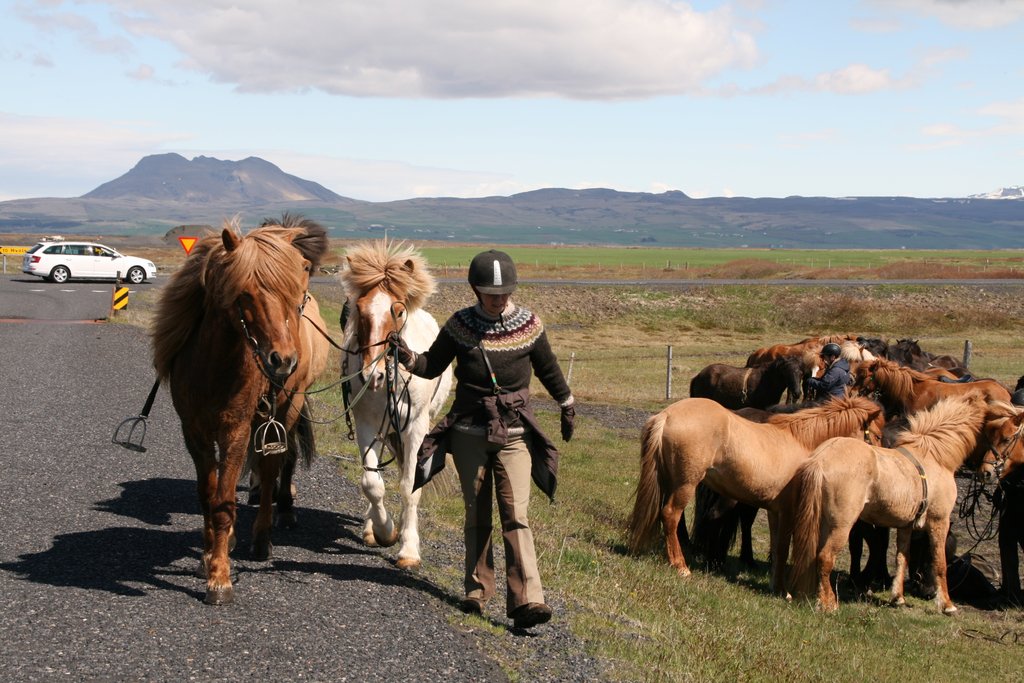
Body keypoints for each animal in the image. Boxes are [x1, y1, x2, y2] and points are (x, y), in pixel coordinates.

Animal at [152, 215, 330, 605]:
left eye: (290, 293)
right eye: (244, 293)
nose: (283, 360)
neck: (213, 366)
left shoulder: (236, 429)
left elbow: (224, 502)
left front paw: (219, 578)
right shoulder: (195, 432)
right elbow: (209, 494)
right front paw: (209, 555)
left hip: (286, 407)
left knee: (276, 465)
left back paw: (265, 533)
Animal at [339, 240, 452, 569]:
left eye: (399, 311)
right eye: (359, 309)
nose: (371, 375)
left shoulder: (415, 428)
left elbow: (409, 486)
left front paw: (409, 548)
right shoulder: (366, 425)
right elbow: (371, 483)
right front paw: (384, 530)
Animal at [627, 395, 885, 593]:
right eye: (877, 435)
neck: (803, 444)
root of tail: (666, 415)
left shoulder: (775, 511)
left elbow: (777, 548)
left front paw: (776, 585)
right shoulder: (789, 512)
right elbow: (782, 548)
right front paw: (782, 591)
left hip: (668, 481)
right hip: (685, 484)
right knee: (671, 515)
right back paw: (681, 566)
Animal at [788, 394, 1011, 614]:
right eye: (997, 433)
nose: (991, 472)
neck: (935, 456)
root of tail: (820, 459)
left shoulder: (906, 526)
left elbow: (902, 558)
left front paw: (898, 598)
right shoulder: (939, 521)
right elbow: (939, 563)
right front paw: (947, 605)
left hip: (823, 522)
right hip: (841, 525)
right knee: (825, 557)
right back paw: (829, 604)